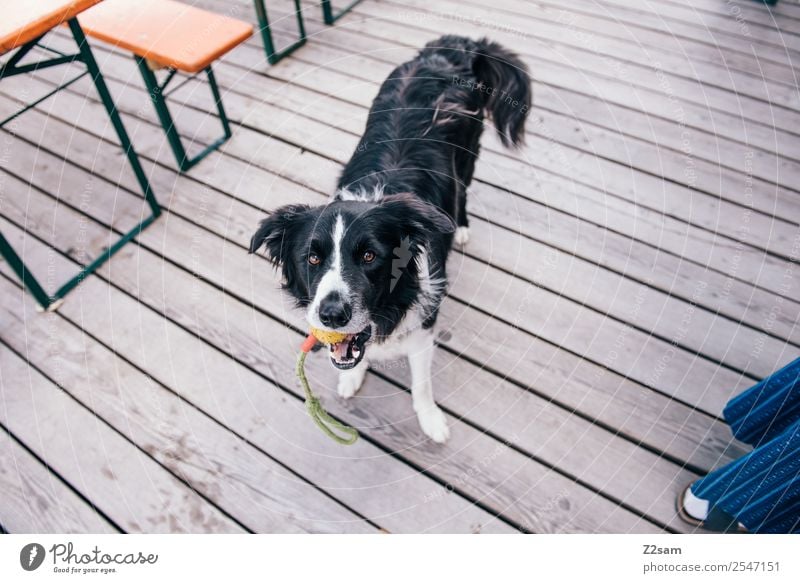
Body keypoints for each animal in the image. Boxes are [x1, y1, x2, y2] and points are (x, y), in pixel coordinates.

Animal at [250, 36, 532, 442]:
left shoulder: (424, 322)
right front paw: (352, 377)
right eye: (312, 259)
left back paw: (461, 226)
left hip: (468, 153)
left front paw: (430, 420)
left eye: (370, 256)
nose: (331, 314)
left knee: (463, 188)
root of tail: (455, 46)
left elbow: (421, 384)